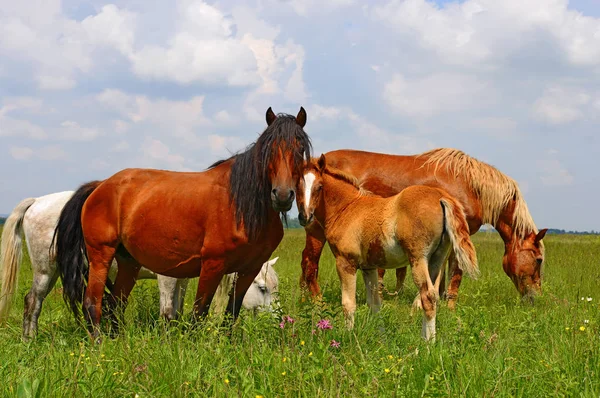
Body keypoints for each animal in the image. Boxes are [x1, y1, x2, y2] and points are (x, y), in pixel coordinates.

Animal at [0, 191, 280, 338]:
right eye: (262, 288)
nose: (279, 320)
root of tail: (37, 201)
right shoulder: (167, 276)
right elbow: (167, 311)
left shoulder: (184, 279)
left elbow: (178, 309)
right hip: (46, 270)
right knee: (33, 301)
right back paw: (30, 339)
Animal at [53, 106, 312, 342]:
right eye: (269, 150)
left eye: (300, 149)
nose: (282, 195)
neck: (242, 205)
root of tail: (99, 186)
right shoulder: (212, 265)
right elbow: (199, 313)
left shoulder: (249, 268)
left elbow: (232, 311)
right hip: (101, 257)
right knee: (93, 302)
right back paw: (98, 343)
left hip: (128, 263)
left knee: (115, 303)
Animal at [298, 155, 480, 338]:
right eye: (298, 187)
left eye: (320, 187)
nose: (305, 217)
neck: (348, 208)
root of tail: (441, 197)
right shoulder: (368, 268)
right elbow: (375, 304)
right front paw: (381, 337)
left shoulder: (346, 263)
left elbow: (348, 304)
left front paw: (348, 336)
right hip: (436, 260)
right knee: (432, 296)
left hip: (418, 259)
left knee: (427, 296)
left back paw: (427, 343)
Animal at [300, 149, 548, 308]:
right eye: (538, 260)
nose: (535, 298)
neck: (470, 185)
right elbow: (456, 273)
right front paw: (447, 308)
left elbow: (442, 273)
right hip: (316, 230)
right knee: (310, 262)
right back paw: (316, 302)